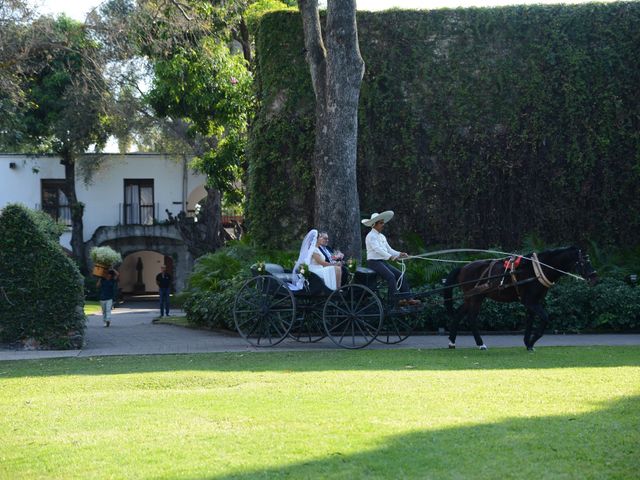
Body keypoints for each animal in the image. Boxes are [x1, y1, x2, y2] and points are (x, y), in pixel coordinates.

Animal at [442, 246, 596, 350]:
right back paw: (481, 344)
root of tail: (463, 268)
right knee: (471, 318)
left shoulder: (534, 302)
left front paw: (528, 343)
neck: (536, 270)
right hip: (476, 298)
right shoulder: (531, 302)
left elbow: (530, 322)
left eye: (589, 260)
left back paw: (452, 342)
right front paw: (532, 341)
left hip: (471, 297)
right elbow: (545, 318)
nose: (594, 277)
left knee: (458, 315)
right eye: (584, 262)